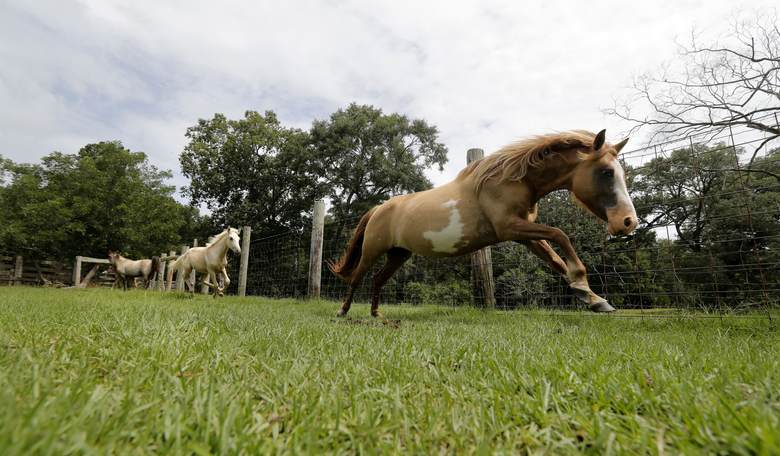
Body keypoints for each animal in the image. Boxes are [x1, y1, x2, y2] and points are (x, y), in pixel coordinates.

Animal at [329, 129, 637, 317]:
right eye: (607, 172)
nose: (628, 222)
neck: (512, 179)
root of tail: (379, 208)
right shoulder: (509, 228)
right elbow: (560, 234)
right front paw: (586, 289)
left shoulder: (523, 234)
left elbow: (555, 259)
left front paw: (592, 298)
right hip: (372, 250)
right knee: (357, 277)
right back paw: (343, 312)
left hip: (398, 254)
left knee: (378, 279)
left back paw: (376, 313)